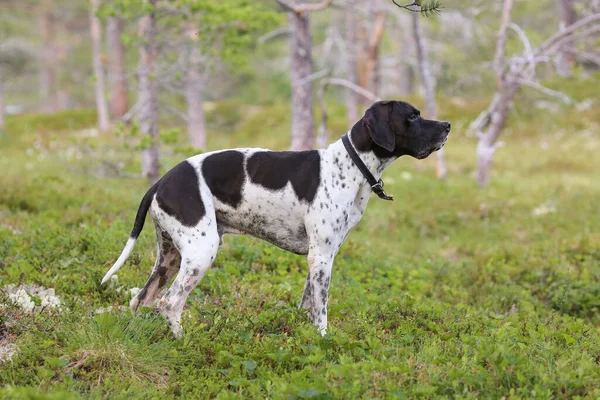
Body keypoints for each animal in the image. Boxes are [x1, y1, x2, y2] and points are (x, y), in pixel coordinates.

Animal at [103, 101, 450, 338]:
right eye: (413, 116)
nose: (447, 125)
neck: (351, 166)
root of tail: (161, 181)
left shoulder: (319, 257)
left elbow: (309, 305)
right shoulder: (322, 257)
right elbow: (322, 311)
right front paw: (324, 340)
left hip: (170, 257)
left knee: (141, 299)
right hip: (201, 253)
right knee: (169, 303)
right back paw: (185, 342)